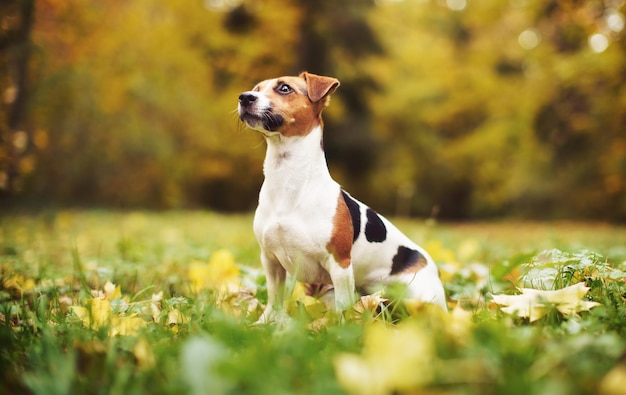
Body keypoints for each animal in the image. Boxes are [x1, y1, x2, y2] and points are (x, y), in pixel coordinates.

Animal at [236, 72, 446, 324]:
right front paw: (264, 323)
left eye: (284, 88)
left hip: (419, 297)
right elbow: (274, 299)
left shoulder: (340, 264)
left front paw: (338, 329)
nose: (245, 97)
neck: (288, 181)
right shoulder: (270, 260)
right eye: (256, 89)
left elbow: (343, 306)